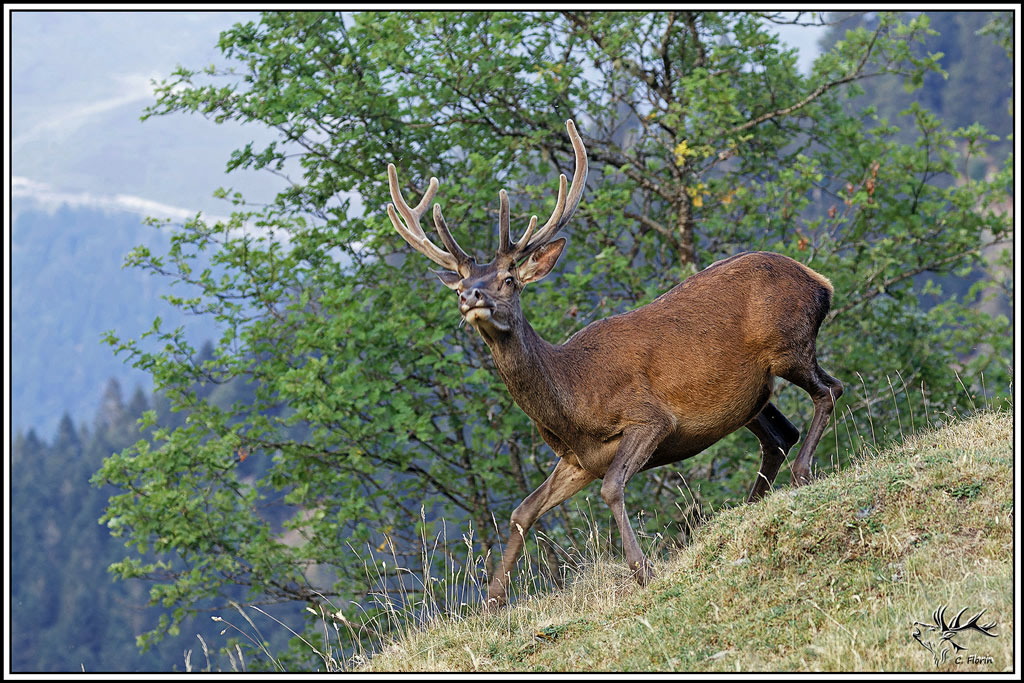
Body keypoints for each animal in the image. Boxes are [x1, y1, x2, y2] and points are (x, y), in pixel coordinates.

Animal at [385, 119, 843, 609]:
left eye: (508, 279)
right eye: (459, 285)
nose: (472, 296)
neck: (572, 400)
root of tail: (821, 281)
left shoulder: (649, 418)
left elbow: (611, 488)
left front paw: (642, 570)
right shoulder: (578, 458)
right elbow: (523, 510)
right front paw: (491, 602)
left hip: (789, 345)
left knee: (828, 391)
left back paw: (800, 475)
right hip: (751, 394)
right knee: (780, 433)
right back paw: (748, 505)